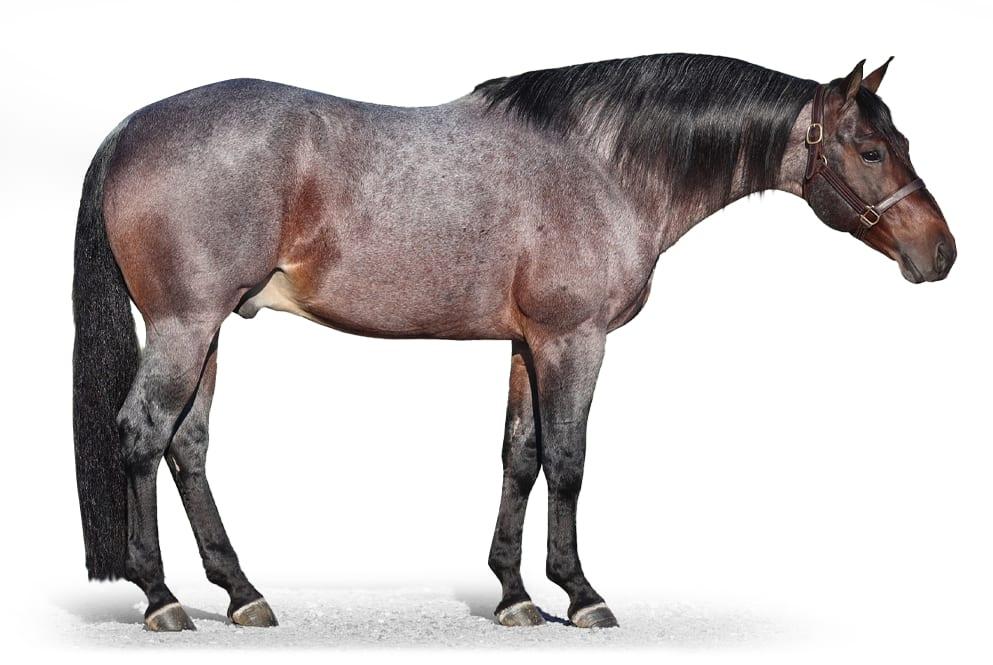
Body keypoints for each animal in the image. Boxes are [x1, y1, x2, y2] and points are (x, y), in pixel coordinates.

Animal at [72, 53, 956, 632]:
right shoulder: (574, 340)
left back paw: (241, 591)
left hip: (210, 329)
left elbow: (518, 454)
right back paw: (162, 598)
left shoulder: (527, 344)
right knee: (142, 435)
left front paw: (514, 593)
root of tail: (129, 127)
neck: (601, 164)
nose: (941, 253)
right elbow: (566, 460)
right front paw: (581, 593)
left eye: (903, 144)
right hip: (186, 325)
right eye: (870, 150)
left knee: (188, 445)